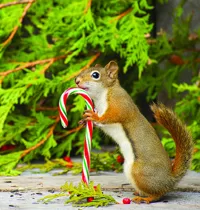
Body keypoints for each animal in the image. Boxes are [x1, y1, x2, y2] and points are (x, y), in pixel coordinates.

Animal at [74, 60, 193, 203]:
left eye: (95, 75)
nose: (77, 81)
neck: (104, 94)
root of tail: (169, 179)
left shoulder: (120, 104)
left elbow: (111, 116)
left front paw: (93, 116)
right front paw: (83, 121)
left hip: (139, 171)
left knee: (159, 193)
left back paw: (146, 198)